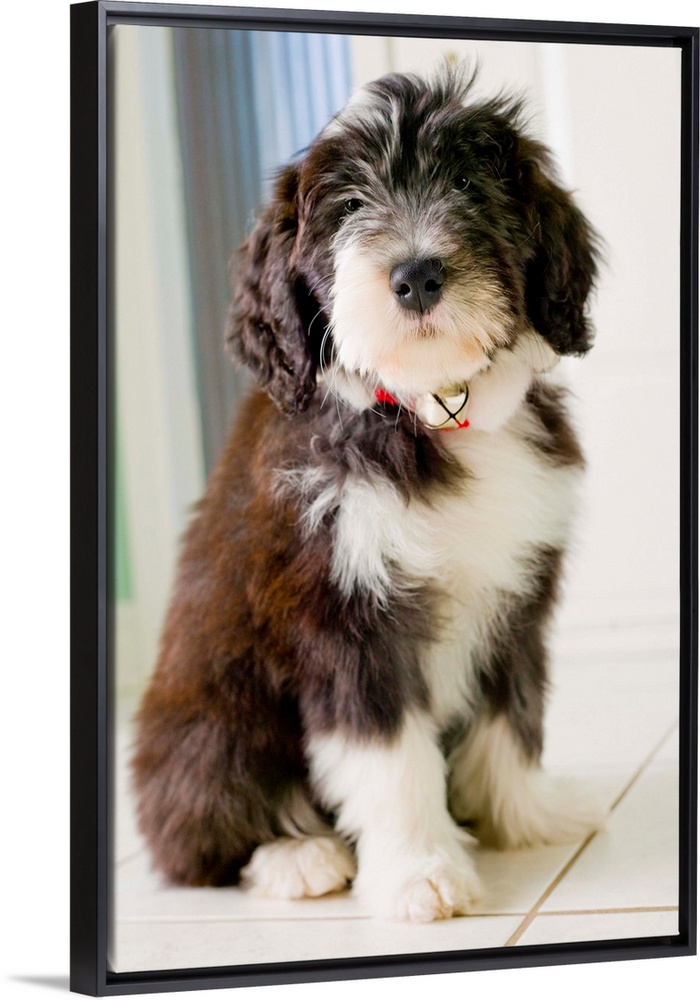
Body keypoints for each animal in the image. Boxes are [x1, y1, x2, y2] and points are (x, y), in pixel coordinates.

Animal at [132, 65, 602, 923]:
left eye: (468, 186)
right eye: (348, 206)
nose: (416, 276)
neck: (428, 409)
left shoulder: (515, 594)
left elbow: (511, 713)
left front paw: (527, 816)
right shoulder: (344, 614)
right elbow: (388, 757)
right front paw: (421, 872)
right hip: (212, 722)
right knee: (198, 840)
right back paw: (296, 857)